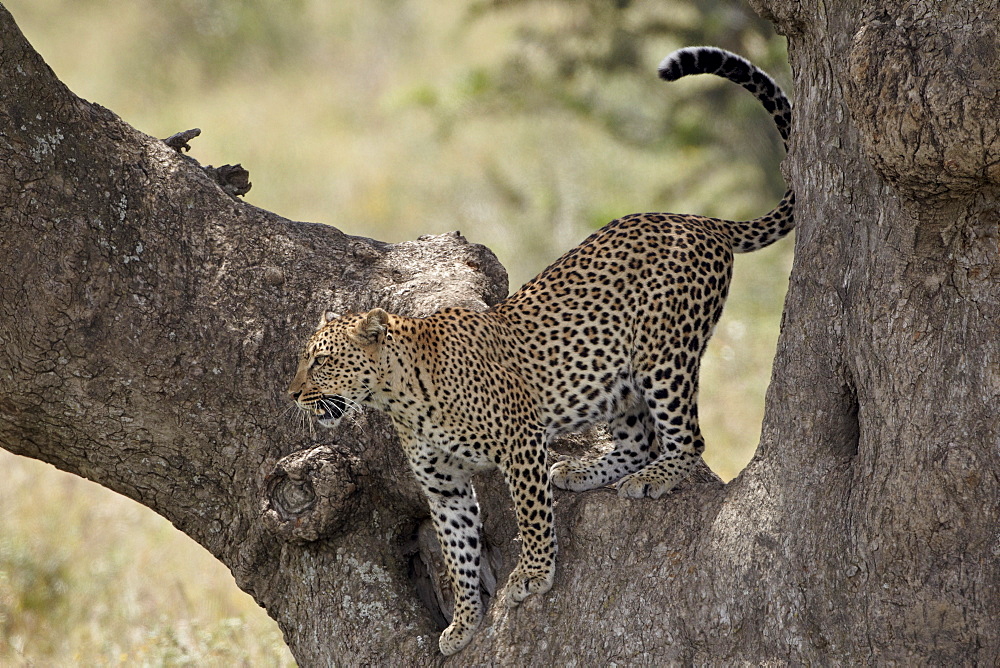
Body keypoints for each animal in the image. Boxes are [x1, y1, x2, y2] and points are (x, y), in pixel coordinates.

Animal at [286, 48, 792, 656]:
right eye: (303, 359)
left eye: (321, 361)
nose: (292, 393)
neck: (401, 398)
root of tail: (697, 219)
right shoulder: (443, 484)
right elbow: (457, 553)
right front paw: (463, 623)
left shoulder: (519, 440)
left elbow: (529, 513)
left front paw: (532, 575)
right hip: (616, 379)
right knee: (638, 439)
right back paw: (584, 470)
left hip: (664, 354)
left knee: (685, 436)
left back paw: (656, 476)